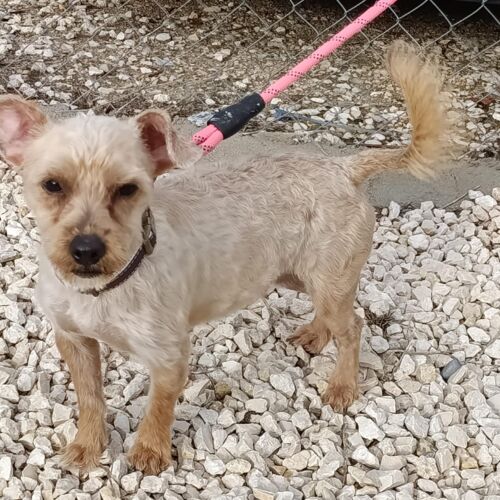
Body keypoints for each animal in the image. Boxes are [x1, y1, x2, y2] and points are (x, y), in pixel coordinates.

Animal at [0, 41, 450, 474]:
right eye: (52, 185)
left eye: (128, 189)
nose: (86, 249)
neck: (103, 288)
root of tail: (342, 167)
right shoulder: (73, 339)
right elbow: (90, 398)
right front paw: (88, 445)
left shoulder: (168, 355)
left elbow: (158, 407)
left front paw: (150, 451)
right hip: (303, 276)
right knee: (333, 316)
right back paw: (315, 335)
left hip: (329, 279)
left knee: (352, 327)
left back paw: (342, 384)